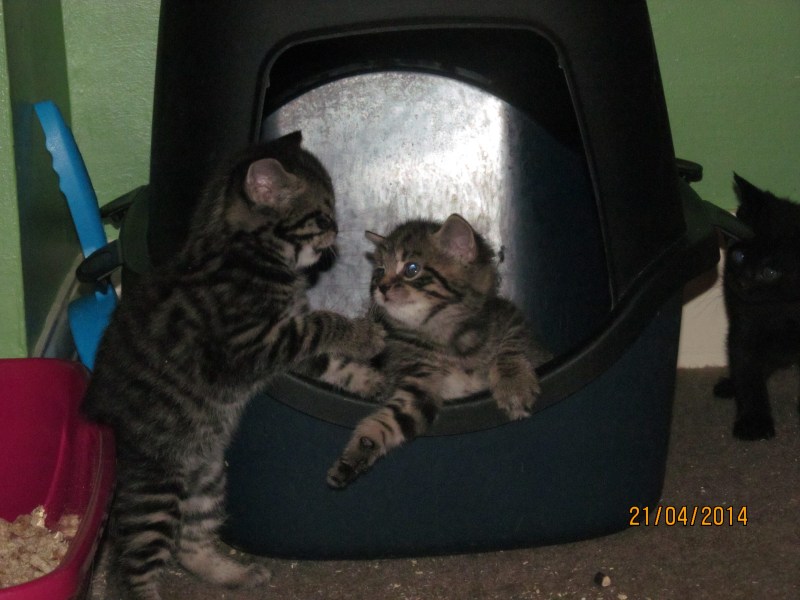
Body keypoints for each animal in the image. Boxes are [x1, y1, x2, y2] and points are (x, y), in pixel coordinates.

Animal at [82, 131, 384, 600]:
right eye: (322, 215)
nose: (337, 232)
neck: (243, 248)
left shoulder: (285, 345)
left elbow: (330, 361)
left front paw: (369, 379)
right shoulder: (254, 341)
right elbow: (323, 322)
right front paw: (365, 335)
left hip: (206, 477)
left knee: (191, 543)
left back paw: (233, 574)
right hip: (155, 488)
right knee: (128, 571)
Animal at [318, 213, 550, 488]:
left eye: (411, 269)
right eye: (379, 271)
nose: (380, 287)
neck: (446, 339)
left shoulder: (512, 319)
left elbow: (511, 346)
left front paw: (513, 385)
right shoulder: (418, 383)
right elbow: (392, 419)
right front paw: (360, 450)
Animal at [714, 173, 800, 440]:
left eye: (770, 272)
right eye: (739, 256)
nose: (742, 282)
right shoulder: (744, 327)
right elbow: (747, 370)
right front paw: (754, 422)